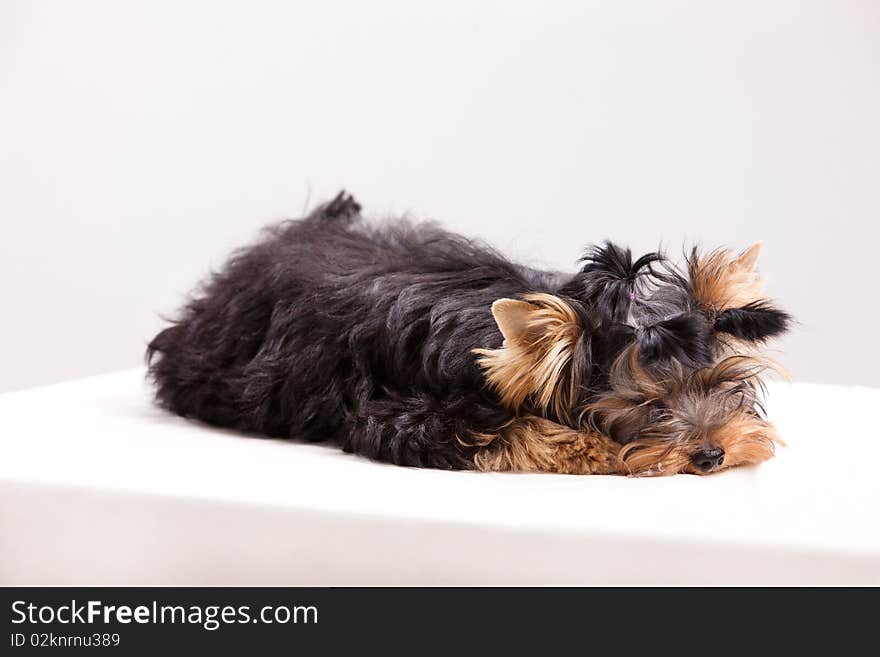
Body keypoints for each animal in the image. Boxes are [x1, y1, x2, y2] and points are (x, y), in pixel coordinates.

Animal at [146, 192, 792, 474]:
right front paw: (586, 447)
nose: (711, 455)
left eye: (720, 383)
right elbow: (504, 430)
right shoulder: (407, 414)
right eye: (647, 405)